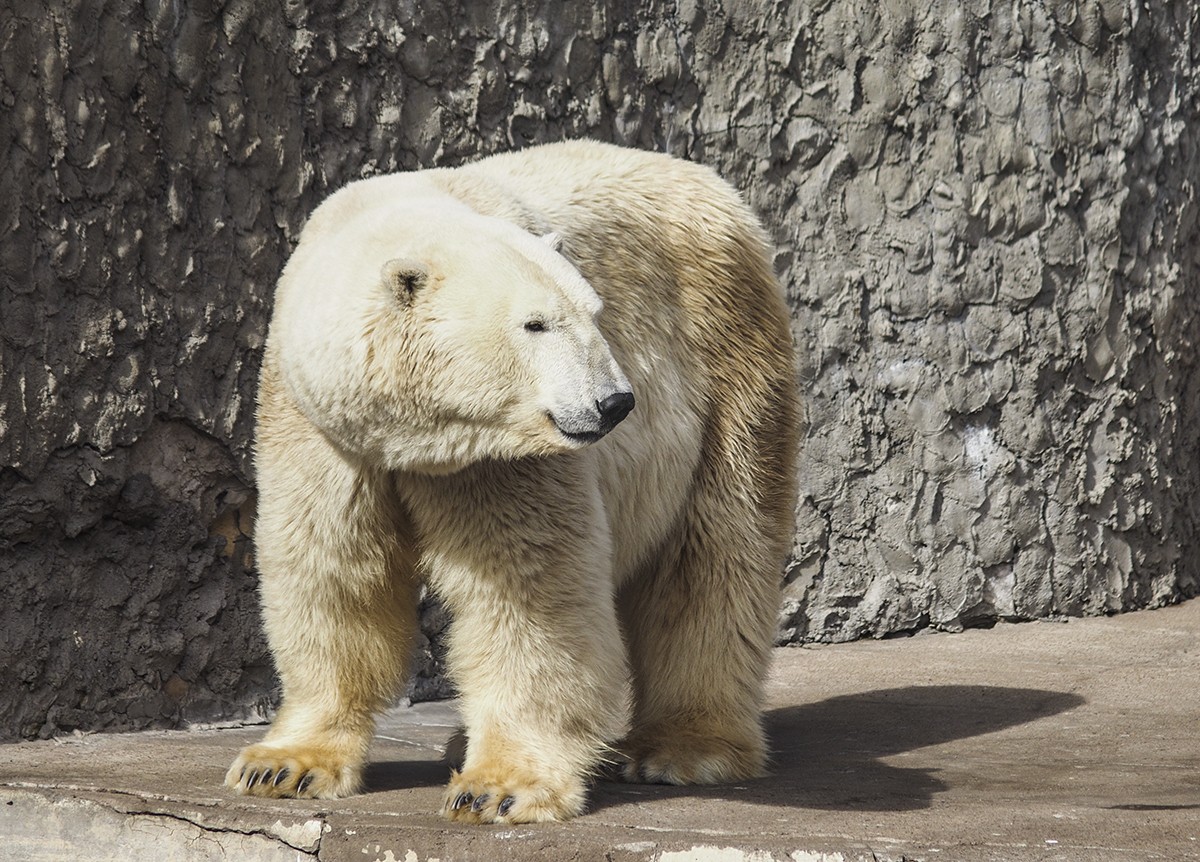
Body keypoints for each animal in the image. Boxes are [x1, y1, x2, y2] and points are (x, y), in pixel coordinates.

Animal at [229, 139, 801, 825]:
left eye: (594, 315)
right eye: (535, 324)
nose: (614, 403)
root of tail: (713, 185)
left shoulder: (503, 460)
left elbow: (524, 588)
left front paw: (496, 788)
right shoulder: (319, 430)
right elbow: (331, 570)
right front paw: (280, 766)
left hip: (723, 357)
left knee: (715, 551)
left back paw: (686, 748)